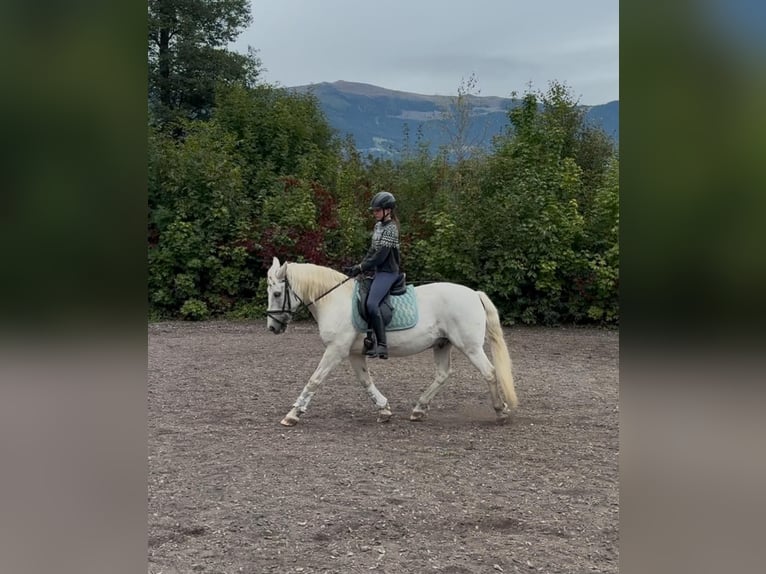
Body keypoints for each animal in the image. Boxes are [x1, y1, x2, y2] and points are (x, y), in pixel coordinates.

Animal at [265, 257, 518, 426]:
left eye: (277, 294)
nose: (272, 328)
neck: (334, 299)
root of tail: (474, 293)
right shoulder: (353, 353)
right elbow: (365, 381)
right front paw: (384, 409)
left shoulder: (336, 350)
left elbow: (315, 379)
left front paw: (293, 414)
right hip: (442, 343)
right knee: (442, 374)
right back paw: (418, 409)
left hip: (470, 347)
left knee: (489, 372)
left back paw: (500, 411)